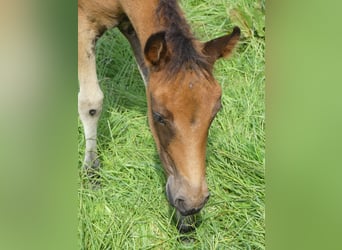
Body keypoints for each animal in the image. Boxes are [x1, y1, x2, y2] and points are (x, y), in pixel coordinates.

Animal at [78, 0, 239, 232]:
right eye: (159, 116)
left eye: (215, 113)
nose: (193, 202)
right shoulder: (84, 22)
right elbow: (91, 103)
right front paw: (91, 173)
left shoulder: (133, 29)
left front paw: (184, 220)